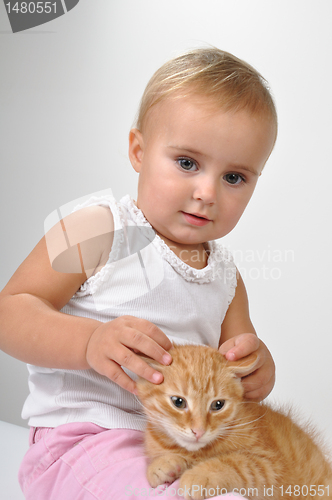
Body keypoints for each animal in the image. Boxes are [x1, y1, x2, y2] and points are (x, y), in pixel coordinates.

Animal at [136, 344, 330, 500]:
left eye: (218, 405)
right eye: (178, 402)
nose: (198, 431)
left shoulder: (272, 463)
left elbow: (237, 462)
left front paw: (201, 475)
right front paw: (162, 466)